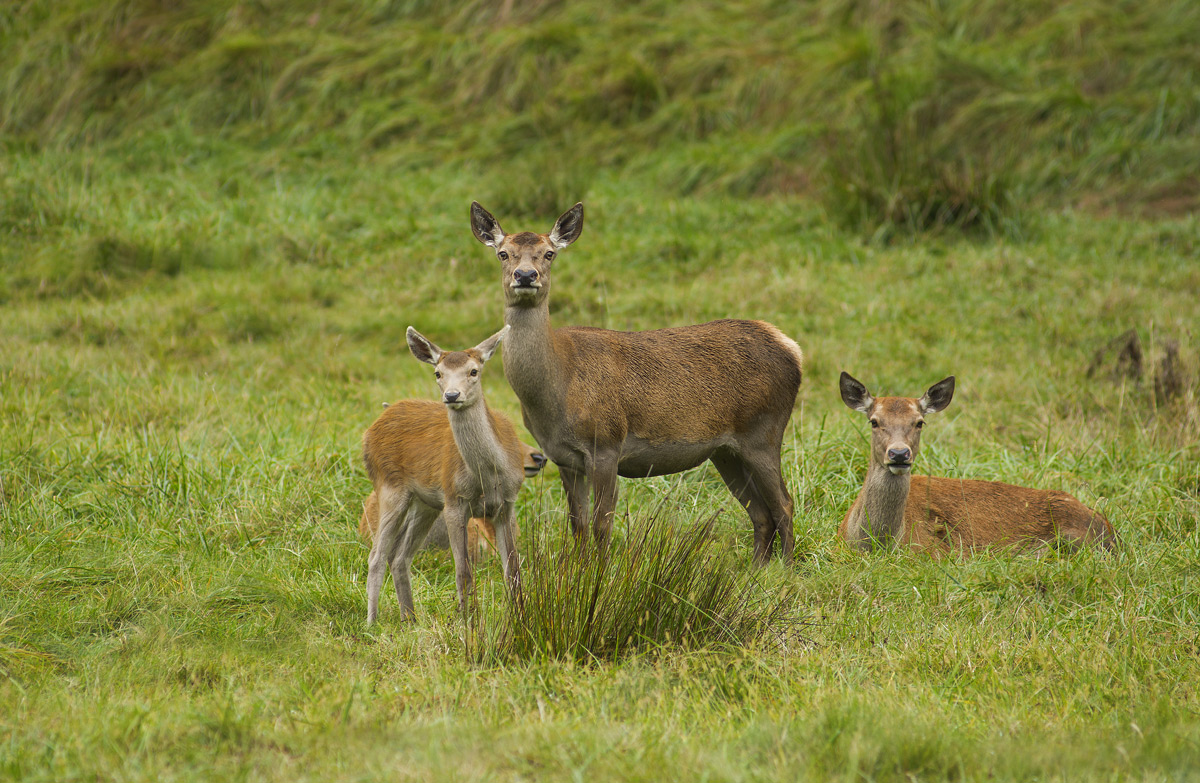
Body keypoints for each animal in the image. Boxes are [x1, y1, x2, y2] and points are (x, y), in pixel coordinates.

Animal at [362, 325, 526, 624]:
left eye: (474, 371)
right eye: (438, 373)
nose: (451, 395)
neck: (489, 476)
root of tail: (371, 430)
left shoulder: (507, 504)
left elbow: (513, 572)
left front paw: (520, 618)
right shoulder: (454, 501)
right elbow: (464, 573)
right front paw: (468, 621)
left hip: (425, 504)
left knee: (399, 556)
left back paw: (410, 619)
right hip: (390, 487)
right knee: (377, 556)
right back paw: (372, 622)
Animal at [470, 202, 805, 565]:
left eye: (549, 253)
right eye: (503, 253)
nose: (525, 276)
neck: (557, 388)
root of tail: (791, 348)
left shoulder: (606, 443)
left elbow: (602, 524)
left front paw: (599, 573)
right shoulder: (563, 458)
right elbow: (578, 525)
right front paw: (579, 571)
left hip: (764, 430)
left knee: (784, 504)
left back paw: (786, 568)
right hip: (726, 450)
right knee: (760, 511)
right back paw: (757, 569)